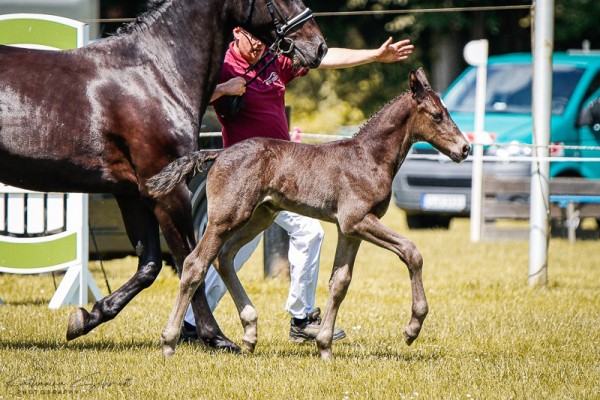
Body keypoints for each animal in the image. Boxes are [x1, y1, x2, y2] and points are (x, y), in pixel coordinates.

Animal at [0, 0, 326, 354]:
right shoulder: (170, 193)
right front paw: (215, 336)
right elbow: (189, 261)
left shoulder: (134, 193)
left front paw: (87, 317)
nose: (319, 47)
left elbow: (149, 266)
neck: (155, 75)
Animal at [149, 67, 468, 358]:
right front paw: (413, 328)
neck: (369, 157)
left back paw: (250, 332)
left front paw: (324, 345)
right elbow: (411, 252)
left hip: (260, 216)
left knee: (224, 257)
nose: (465, 148)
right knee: (195, 264)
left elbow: (340, 282)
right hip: (225, 218)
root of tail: (219, 153)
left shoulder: (349, 230)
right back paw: (169, 341)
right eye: (437, 115)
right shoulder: (357, 220)